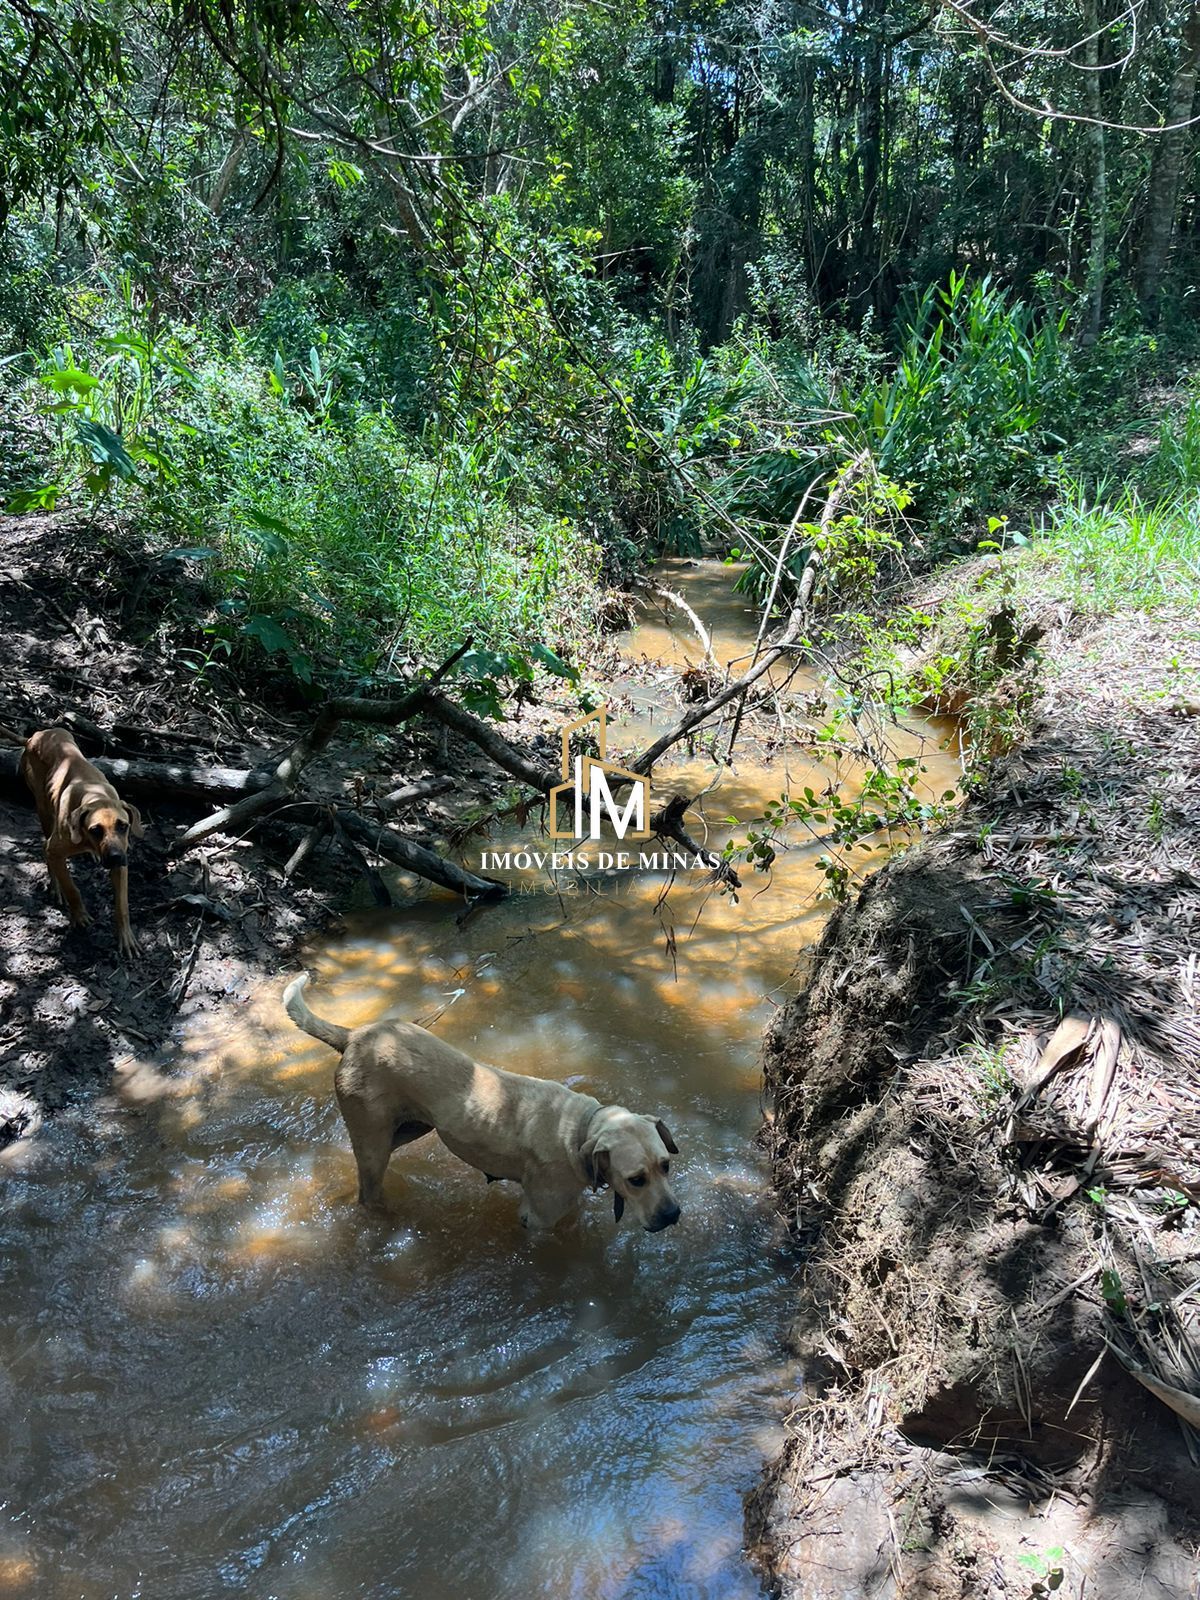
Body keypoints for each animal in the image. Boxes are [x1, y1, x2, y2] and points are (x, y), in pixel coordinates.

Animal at [20, 732, 144, 953]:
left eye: (123, 826)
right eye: (95, 830)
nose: (114, 857)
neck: (95, 795)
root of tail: (35, 735)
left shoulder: (121, 862)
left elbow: (122, 904)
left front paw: (126, 936)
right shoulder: (56, 849)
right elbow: (72, 888)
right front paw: (79, 916)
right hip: (44, 810)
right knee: (45, 848)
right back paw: (56, 886)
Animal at [276, 966, 681, 1228]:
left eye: (666, 1165)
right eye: (636, 1179)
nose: (673, 1215)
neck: (578, 1130)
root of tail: (354, 1035)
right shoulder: (537, 1218)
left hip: (409, 1128)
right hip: (376, 1141)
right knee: (369, 1193)